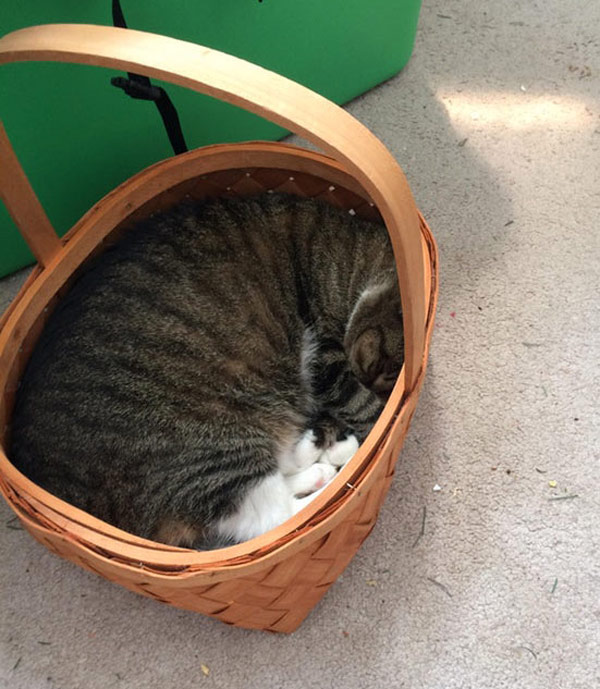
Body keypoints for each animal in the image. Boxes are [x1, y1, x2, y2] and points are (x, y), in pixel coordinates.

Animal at [9, 192, 404, 548]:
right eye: (380, 369)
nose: (371, 378)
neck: (346, 256)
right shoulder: (327, 356)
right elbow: (361, 404)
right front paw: (373, 419)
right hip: (214, 447)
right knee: (274, 520)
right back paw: (326, 472)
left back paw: (314, 455)